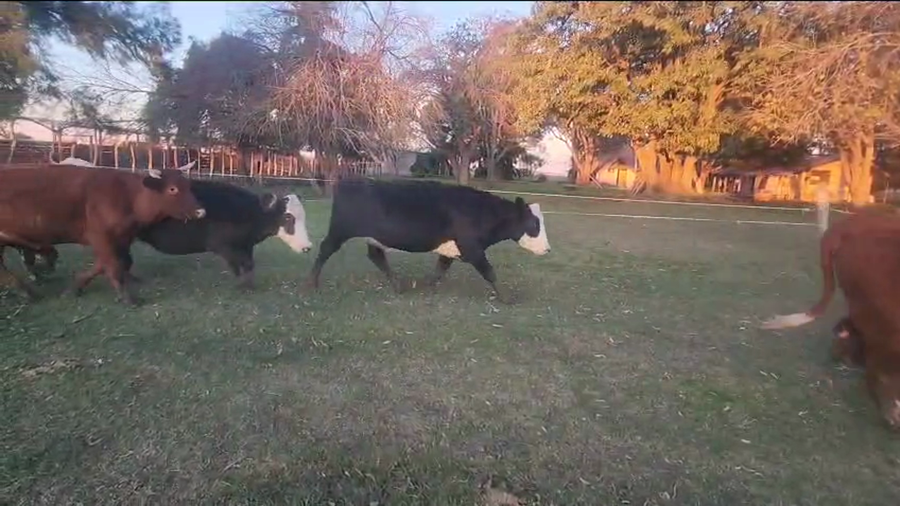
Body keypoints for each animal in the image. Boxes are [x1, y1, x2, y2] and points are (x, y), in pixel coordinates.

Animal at [0, 161, 206, 305]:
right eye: (172, 189)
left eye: (189, 186)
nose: (201, 212)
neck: (128, 196)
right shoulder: (100, 235)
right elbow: (113, 264)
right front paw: (127, 298)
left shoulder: (121, 237)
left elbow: (111, 263)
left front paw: (75, 288)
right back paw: (27, 292)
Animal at [114, 179, 313, 288]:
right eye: (287, 217)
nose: (308, 247)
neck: (247, 211)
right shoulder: (222, 246)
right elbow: (237, 266)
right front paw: (241, 286)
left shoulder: (245, 245)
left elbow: (249, 265)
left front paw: (249, 285)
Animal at [303, 178, 551, 303]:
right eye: (534, 225)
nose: (548, 249)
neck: (481, 211)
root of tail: (349, 181)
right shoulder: (472, 248)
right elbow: (490, 272)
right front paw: (506, 298)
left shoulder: (453, 248)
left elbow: (441, 269)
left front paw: (427, 286)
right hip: (339, 230)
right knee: (325, 249)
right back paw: (312, 283)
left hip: (371, 237)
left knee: (376, 255)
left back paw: (398, 285)